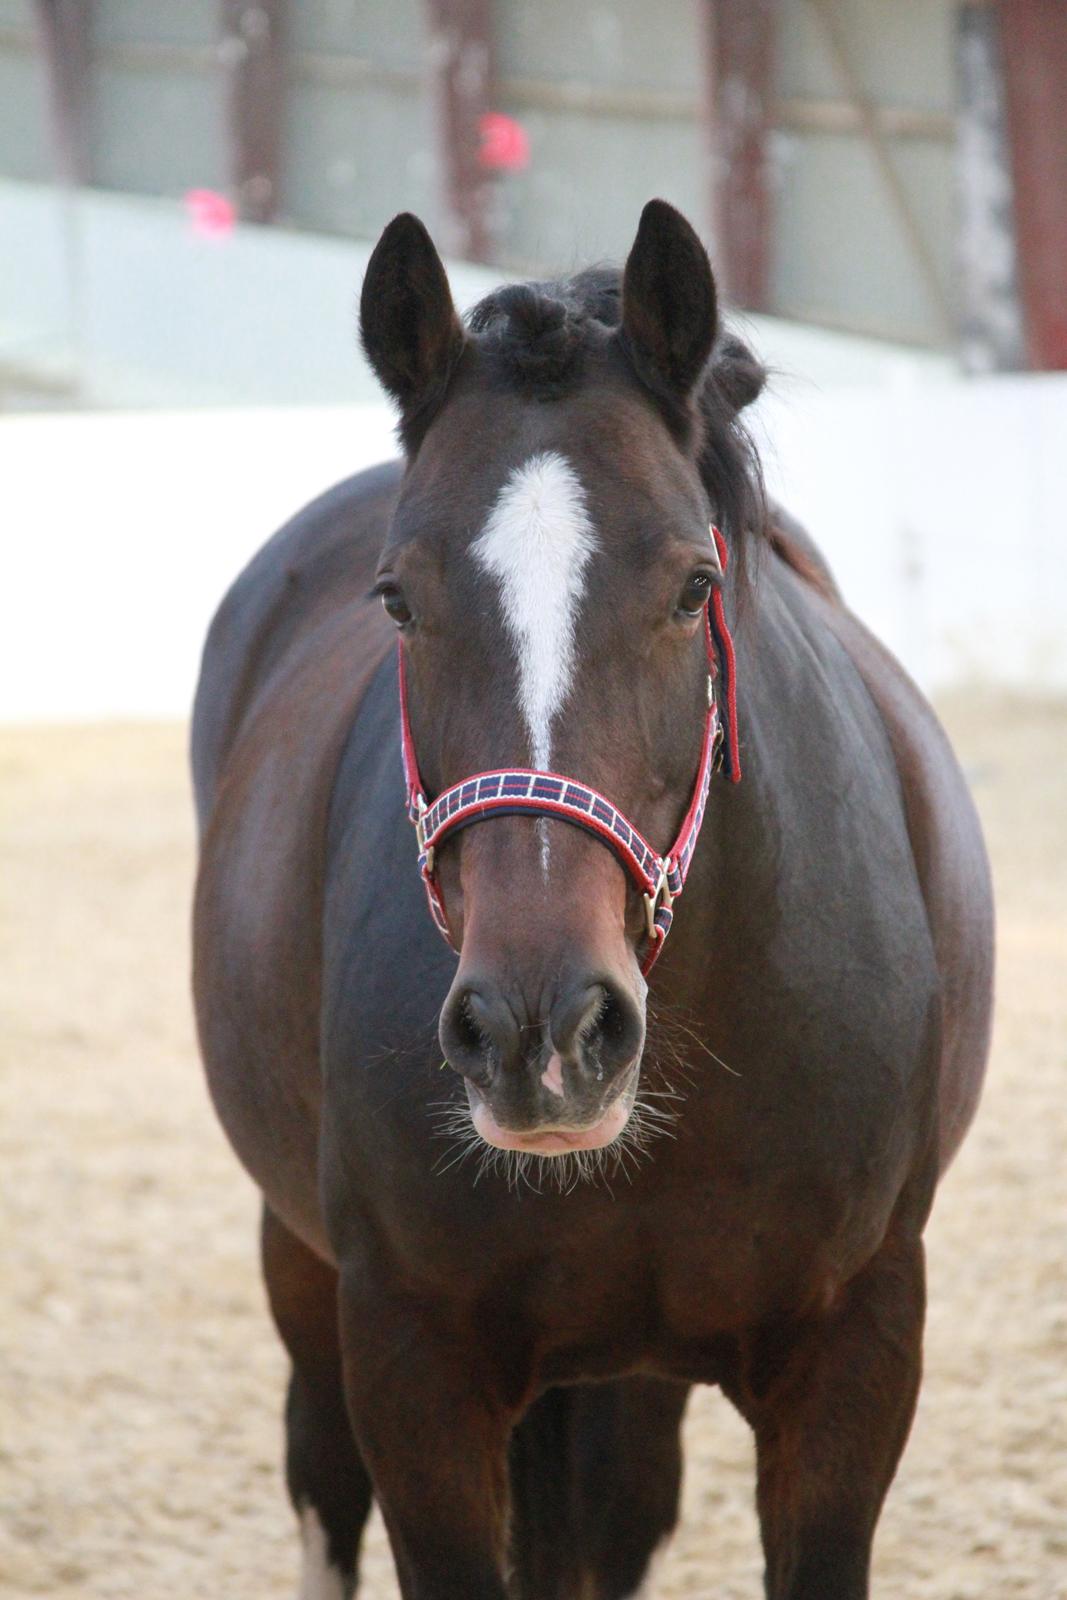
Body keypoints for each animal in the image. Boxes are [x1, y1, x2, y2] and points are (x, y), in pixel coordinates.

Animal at [189, 203, 991, 1600]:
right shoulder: (410, 1361)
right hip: (302, 1263)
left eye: (691, 586)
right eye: (396, 598)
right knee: (321, 1482)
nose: (539, 1033)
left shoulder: (856, 1347)